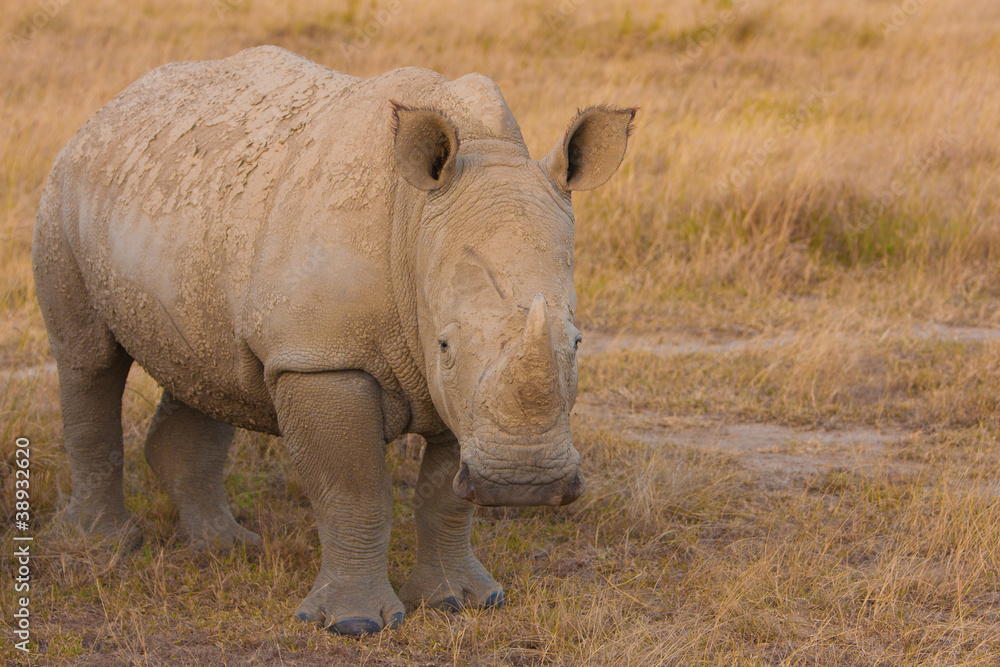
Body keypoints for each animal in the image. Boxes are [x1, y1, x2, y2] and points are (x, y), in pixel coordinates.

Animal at [32, 46, 635, 635]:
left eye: (577, 342)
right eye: (445, 346)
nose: (525, 485)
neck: (415, 225)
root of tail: (112, 105)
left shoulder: (452, 390)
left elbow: (445, 495)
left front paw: (462, 602)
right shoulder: (321, 358)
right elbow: (354, 489)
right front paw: (354, 623)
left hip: (180, 210)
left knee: (208, 366)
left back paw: (227, 548)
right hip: (65, 189)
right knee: (89, 362)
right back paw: (103, 546)